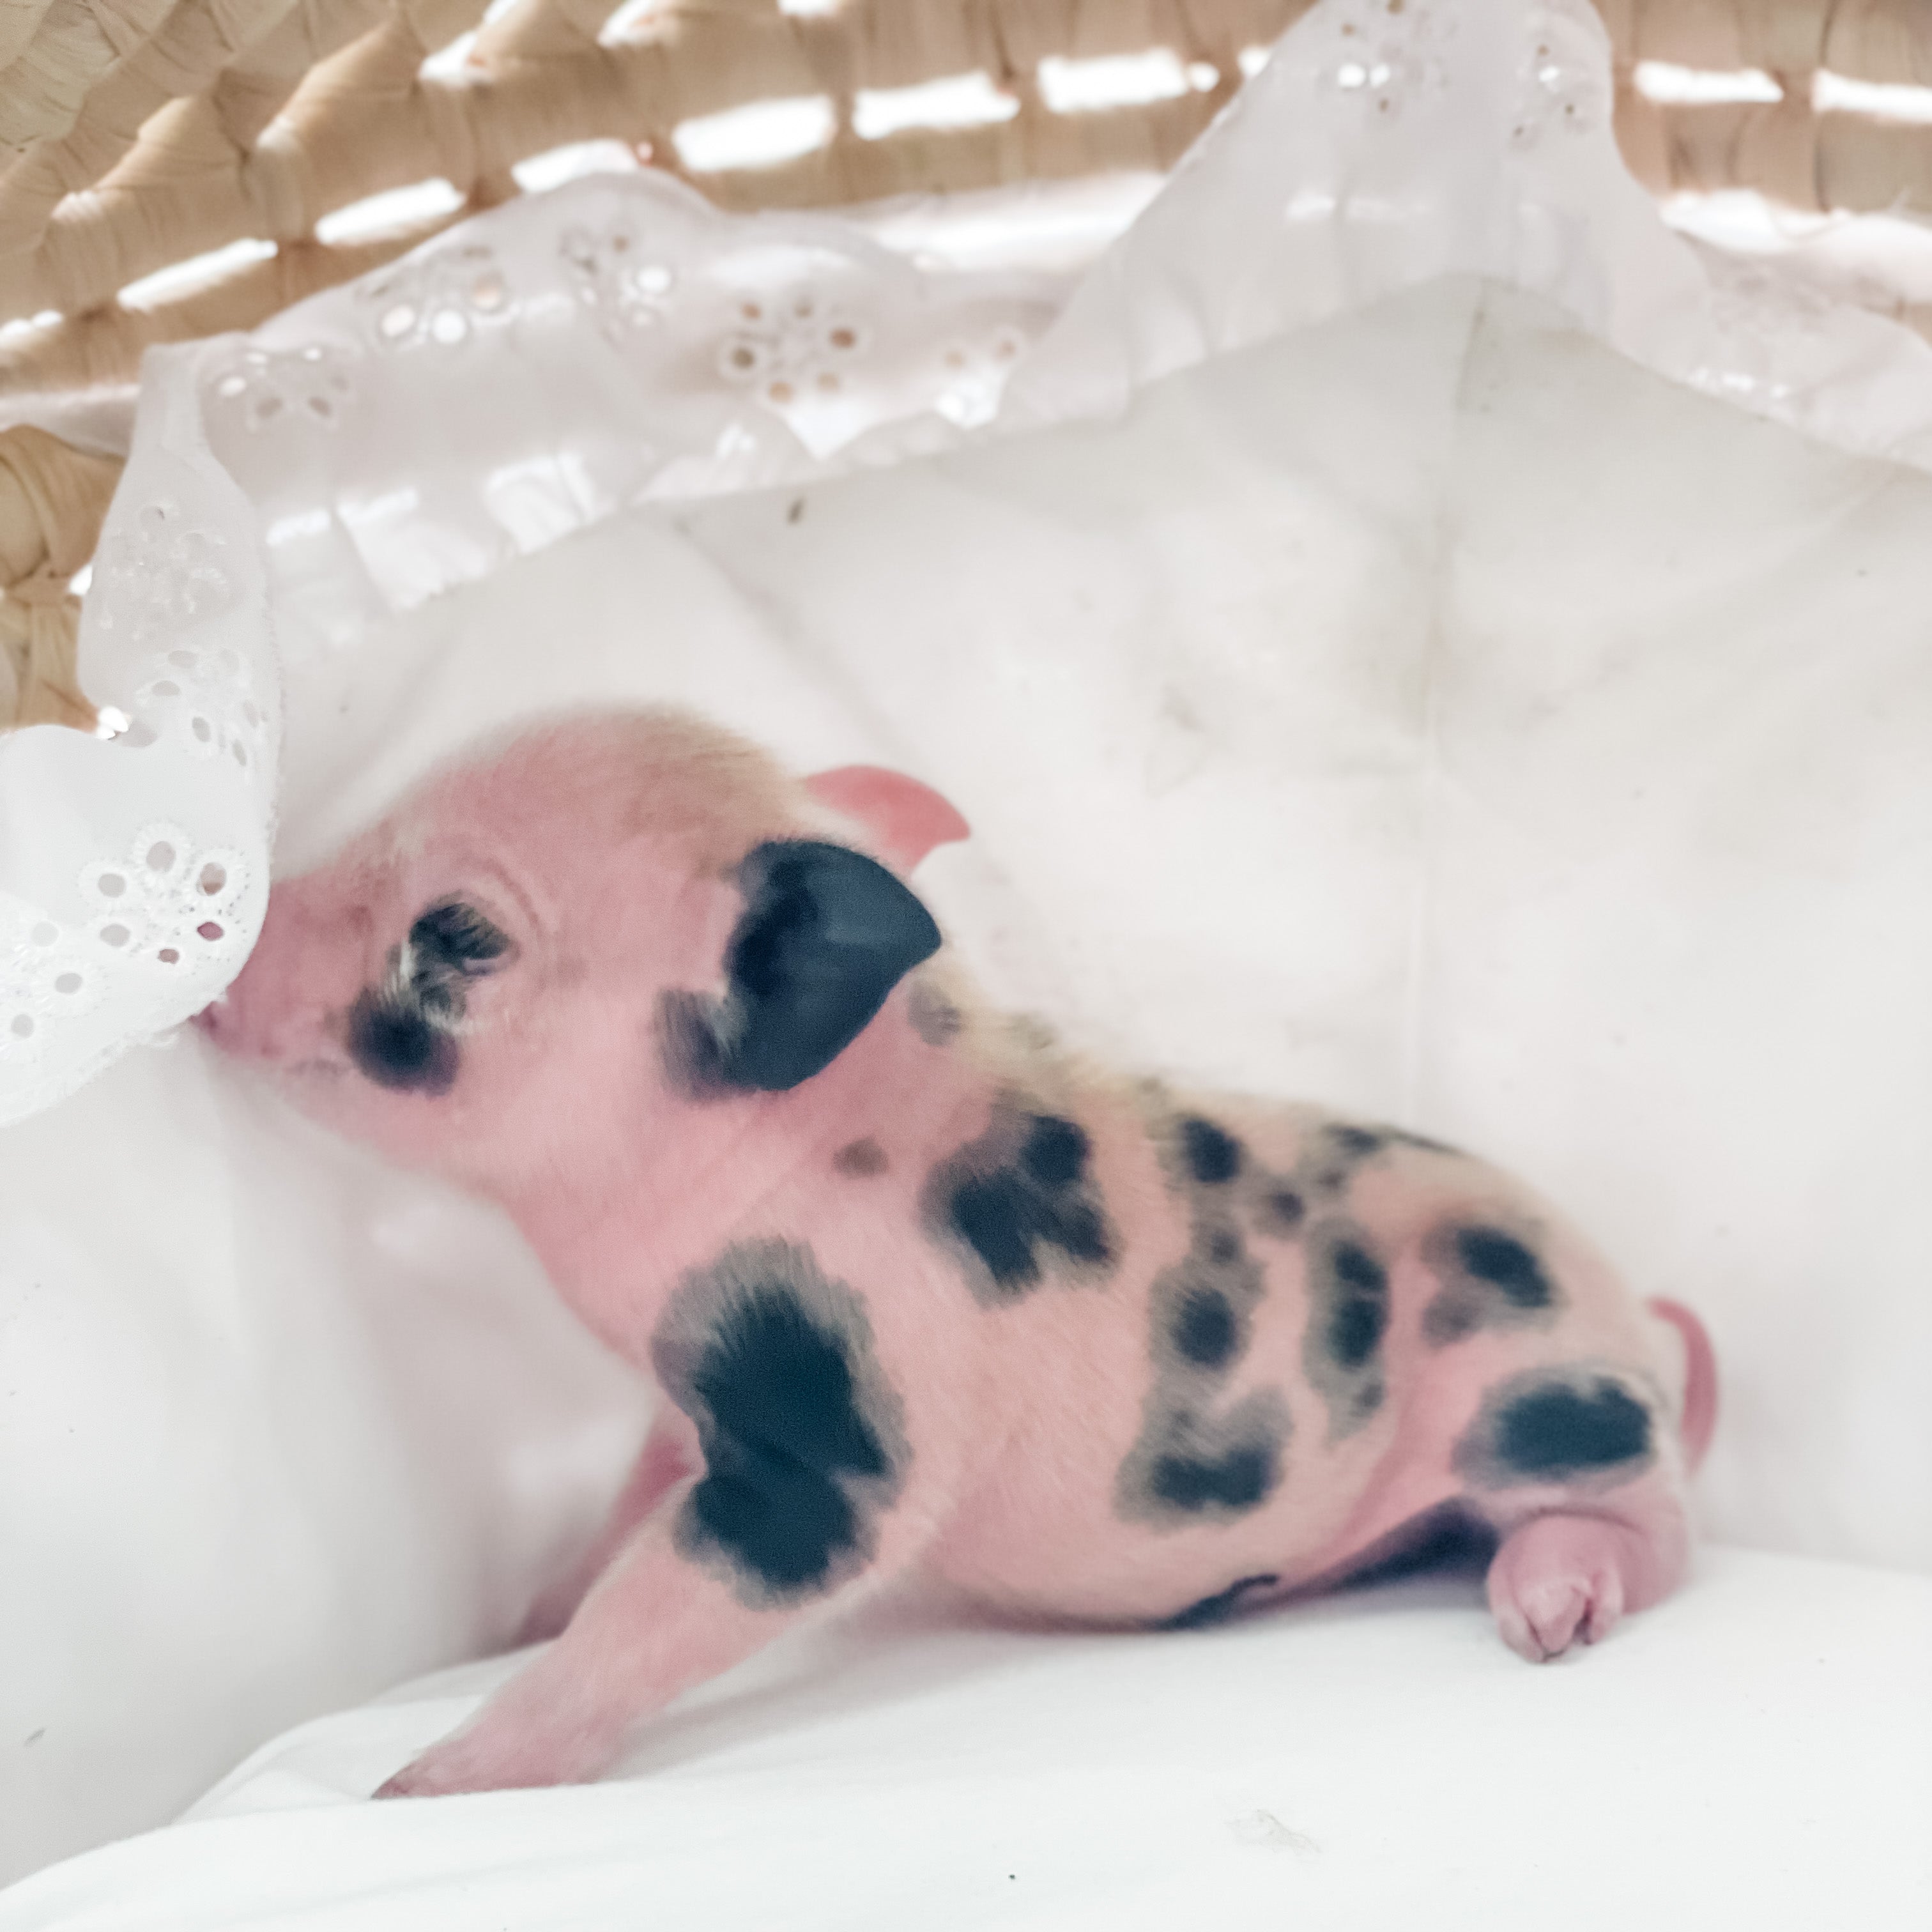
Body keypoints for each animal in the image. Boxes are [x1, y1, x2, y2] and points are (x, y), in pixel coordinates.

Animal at [197, 709, 1718, 1799]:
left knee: (1654, 1533)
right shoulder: (692, 1395)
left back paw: (1548, 1611)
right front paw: (513, 1617)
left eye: (457, 934)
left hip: (1542, 1395)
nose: (221, 931)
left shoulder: (854, 1438)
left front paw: (419, 1785)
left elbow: (670, 1600)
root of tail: (1635, 1332)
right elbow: (620, 1530)